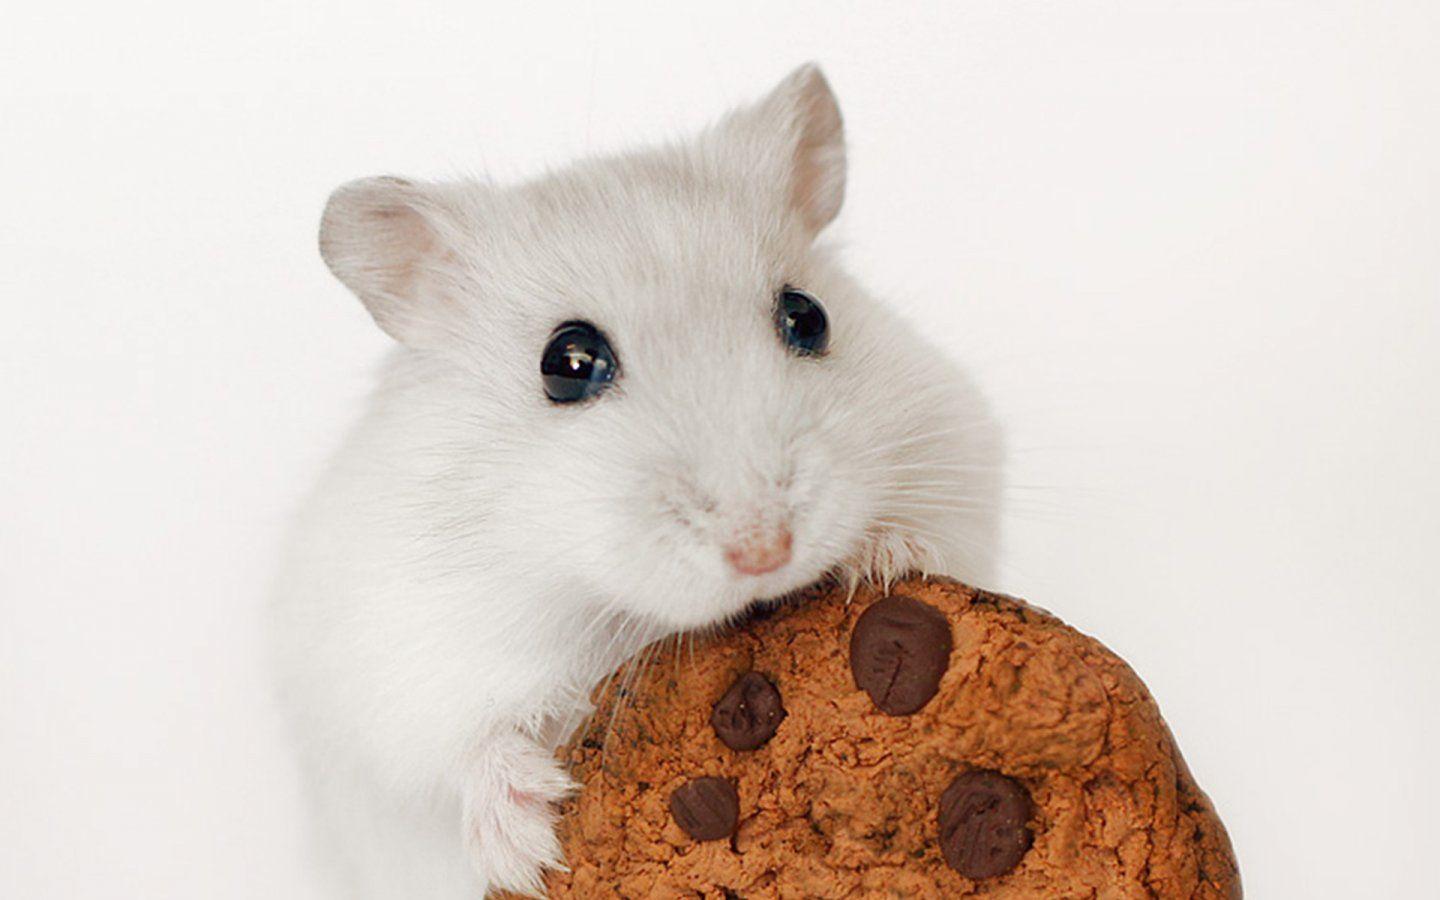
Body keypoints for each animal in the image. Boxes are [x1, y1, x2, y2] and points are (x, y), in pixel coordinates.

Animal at [270, 64, 1001, 899]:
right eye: (568, 363)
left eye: (808, 317)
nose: (766, 553)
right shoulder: (392, 656)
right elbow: (460, 746)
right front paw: (534, 844)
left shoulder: (958, 447)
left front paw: (885, 557)